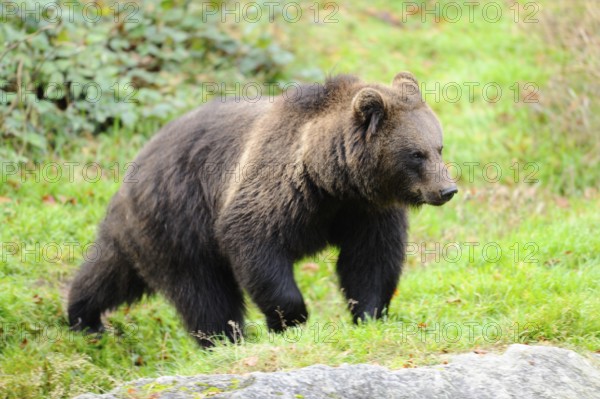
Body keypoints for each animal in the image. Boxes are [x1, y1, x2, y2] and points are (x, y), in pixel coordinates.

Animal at [68, 72, 458, 346]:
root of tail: (134, 167)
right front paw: (292, 319)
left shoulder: (365, 211)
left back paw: (82, 315)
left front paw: (370, 313)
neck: (332, 181)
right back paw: (226, 340)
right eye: (416, 154)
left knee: (111, 271)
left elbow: (370, 261)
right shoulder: (278, 191)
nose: (447, 189)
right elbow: (255, 241)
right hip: (179, 217)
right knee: (202, 292)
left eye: (439, 146)